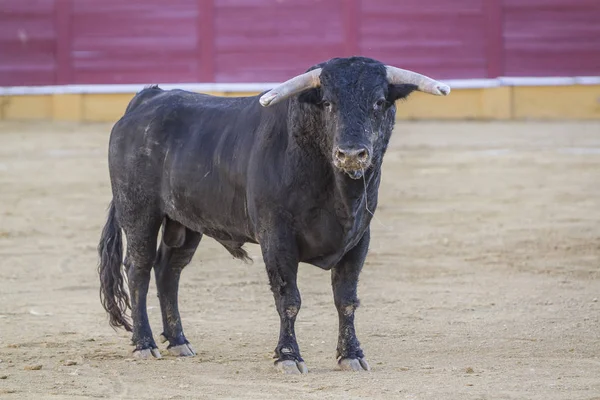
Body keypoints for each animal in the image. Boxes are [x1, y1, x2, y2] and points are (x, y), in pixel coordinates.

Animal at [98, 57, 448, 376]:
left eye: (379, 102)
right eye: (327, 103)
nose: (351, 154)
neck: (336, 191)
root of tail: (148, 99)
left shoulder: (359, 238)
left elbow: (346, 299)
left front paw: (351, 355)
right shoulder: (277, 237)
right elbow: (288, 298)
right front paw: (288, 357)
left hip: (184, 223)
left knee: (168, 271)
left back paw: (179, 341)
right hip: (139, 211)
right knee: (138, 269)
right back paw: (144, 344)